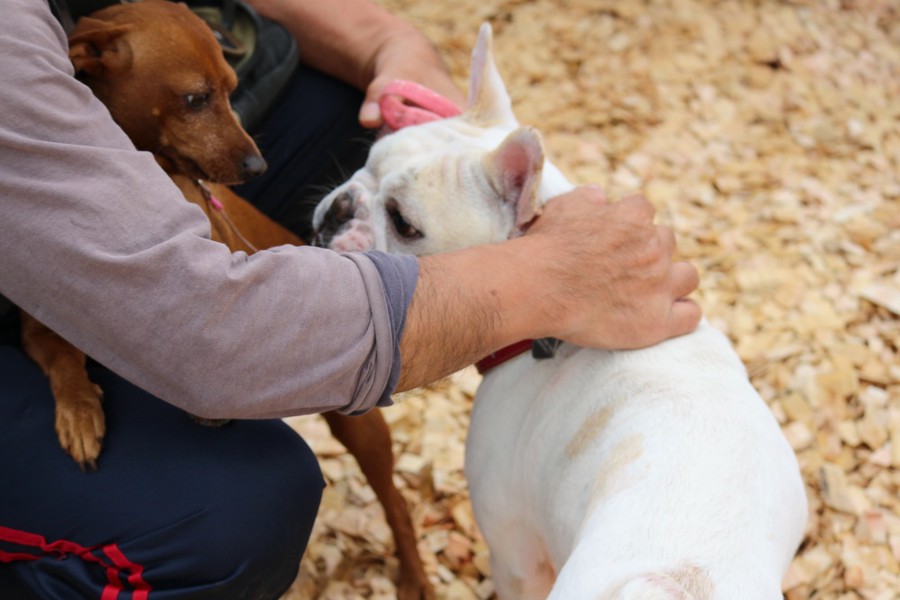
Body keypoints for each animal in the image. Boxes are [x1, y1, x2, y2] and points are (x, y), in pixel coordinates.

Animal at [19, 2, 428, 596]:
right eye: (195, 98)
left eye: (233, 87)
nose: (257, 167)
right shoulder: (35, 324)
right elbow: (63, 357)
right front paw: (79, 410)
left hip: (360, 424)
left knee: (396, 502)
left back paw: (415, 574)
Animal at [312, 23, 804, 600]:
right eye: (369, 159)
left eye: (404, 223)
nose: (341, 206)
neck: (549, 332)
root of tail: (678, 584)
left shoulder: (513, 551)